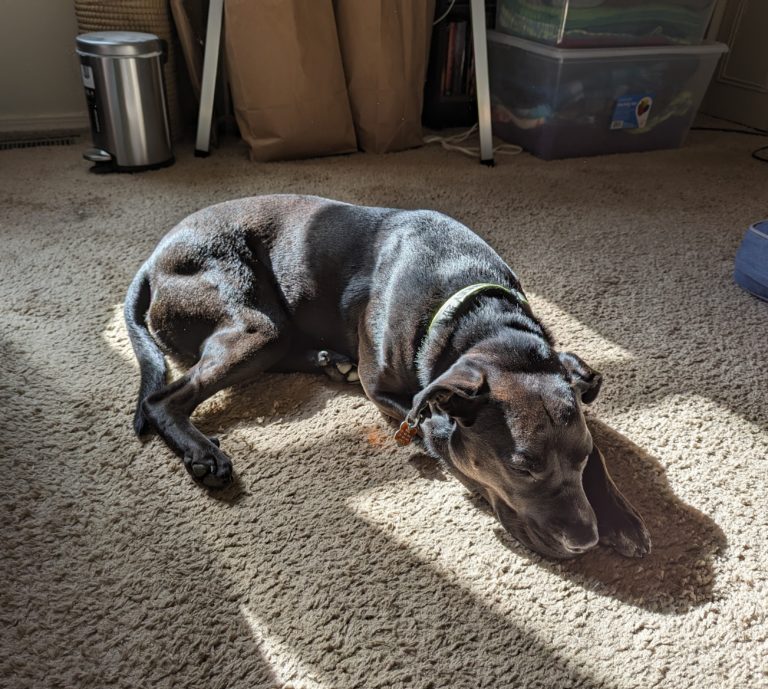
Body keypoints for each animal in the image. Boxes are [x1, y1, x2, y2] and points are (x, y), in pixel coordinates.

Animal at [125, 194, 650, 560]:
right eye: (522, 468)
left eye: (582, 456)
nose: (585, 540)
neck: (474, 313)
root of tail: (153, 258)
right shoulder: (381, 388)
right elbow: (432, 430)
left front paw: (621, 517)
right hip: (254, 323)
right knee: (163, 400)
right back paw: (202, 452)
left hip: (269, 329)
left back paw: (327, 359)